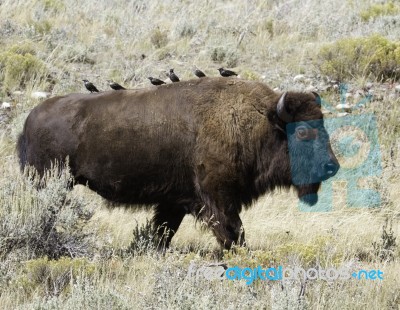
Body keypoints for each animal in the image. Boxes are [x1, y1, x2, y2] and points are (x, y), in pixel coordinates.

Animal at [17, 77, 340, 249]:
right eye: (302, 131)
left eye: (323, 124)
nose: (332, 167)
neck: (260, 122)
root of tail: (30, 119)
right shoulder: (218, 199)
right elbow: (233, 231)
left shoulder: (175, 202)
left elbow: (163, 231)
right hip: (50, 182)